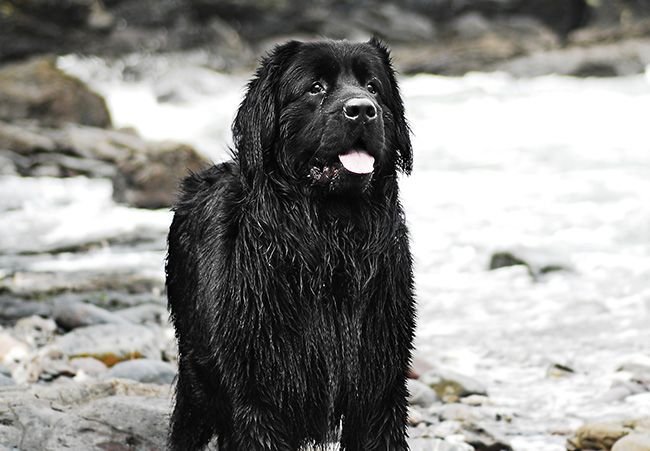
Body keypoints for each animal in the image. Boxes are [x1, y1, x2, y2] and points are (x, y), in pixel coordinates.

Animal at [165, 38, 412, 451]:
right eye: (315, 87)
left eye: (373, 87)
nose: (363, 110)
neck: (330, 239)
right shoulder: (259, 389)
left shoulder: (380, 384)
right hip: (198, 369)